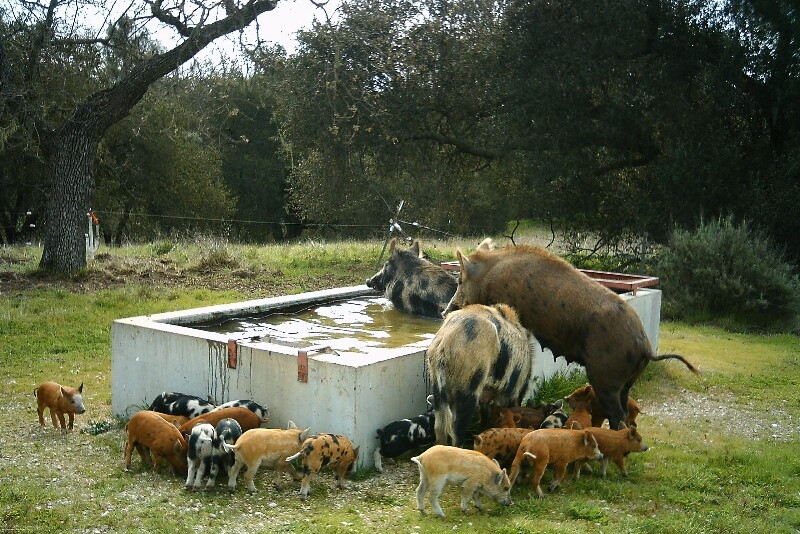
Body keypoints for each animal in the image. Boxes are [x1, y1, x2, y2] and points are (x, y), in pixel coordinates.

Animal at [427, 303, 533, 447]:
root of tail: (445, 343)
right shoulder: (513, 388)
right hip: (470, 378)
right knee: (457, 428)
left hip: (436, 383)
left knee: (439, 427)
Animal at [443, 243, 698, 430]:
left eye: (460, 280)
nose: (445, 311)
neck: (489, 275)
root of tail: (646, 348)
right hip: (627, 381)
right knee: (625, 410)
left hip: (606, 376)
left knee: (617, 414)